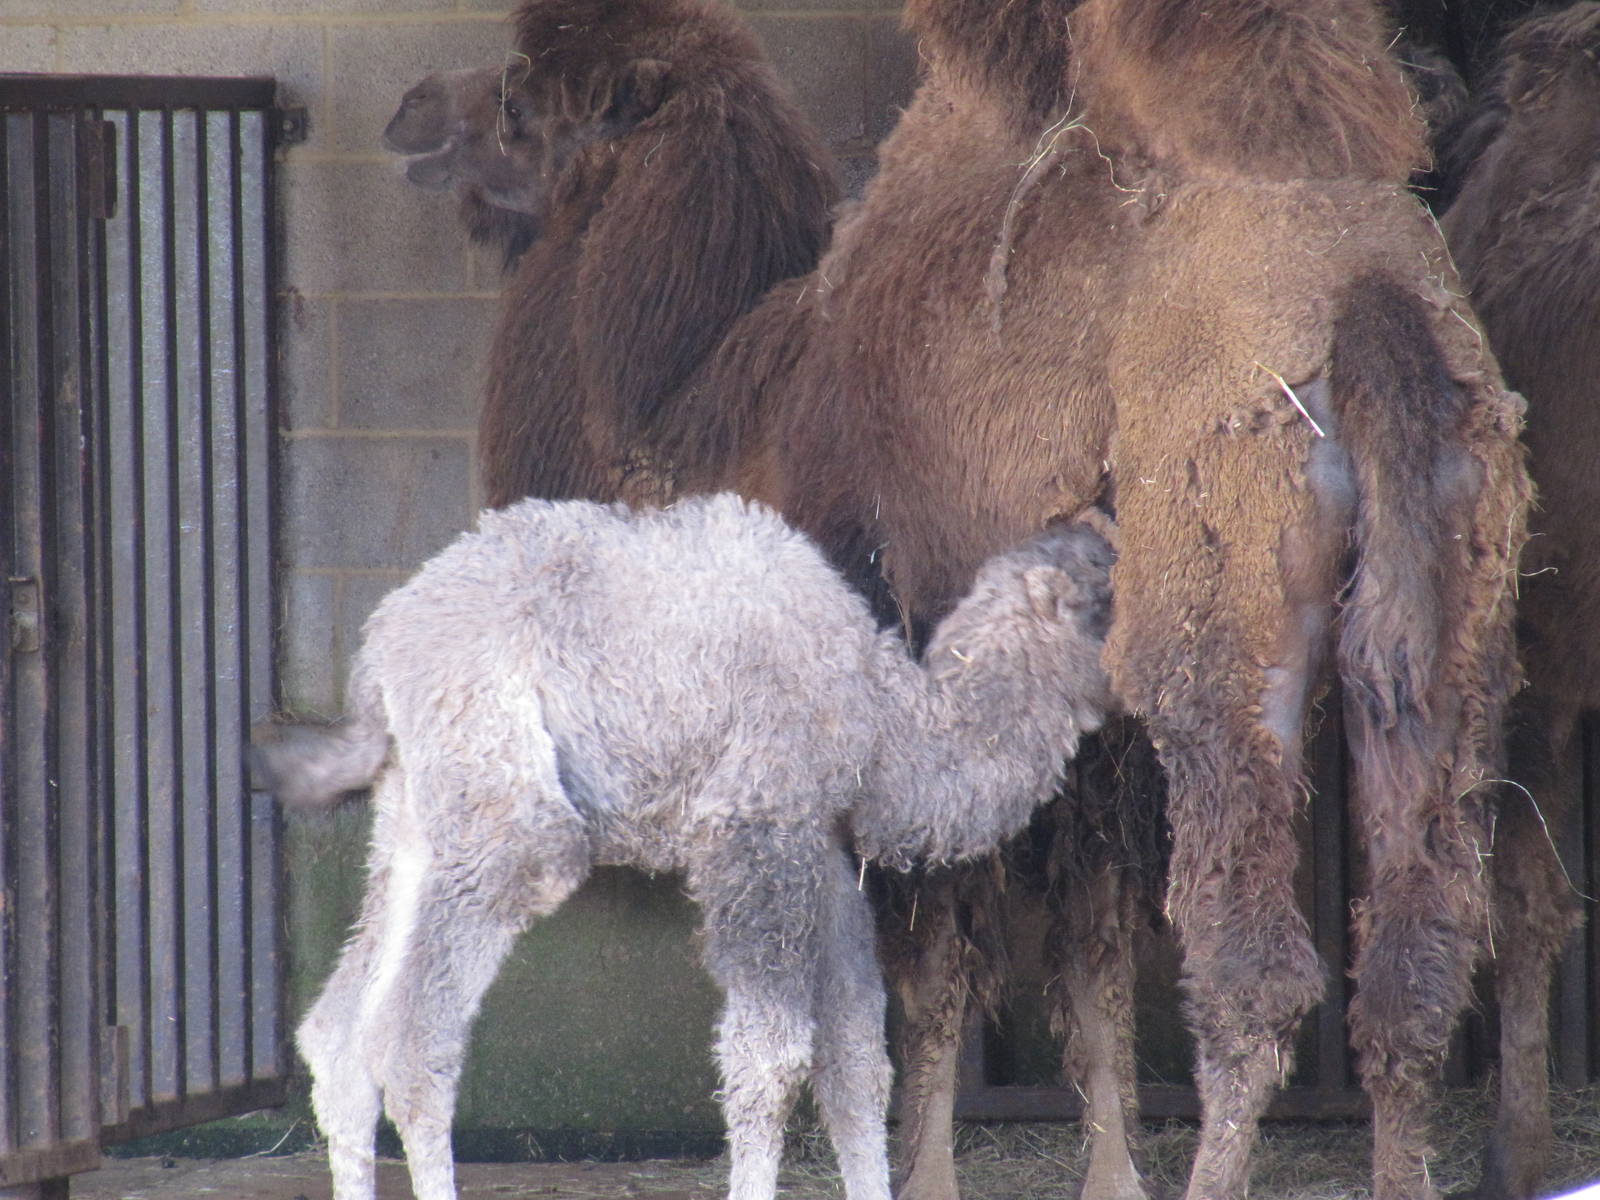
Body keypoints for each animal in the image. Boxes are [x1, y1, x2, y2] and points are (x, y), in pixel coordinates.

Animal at [255, 493, 1117, 1200]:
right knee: (411, 1038)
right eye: (1103, 592)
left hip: (414, 820)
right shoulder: (757, 828)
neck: (883, 721)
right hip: (505, 810)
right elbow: (769, 1058)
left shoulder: (821, 850)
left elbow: (854, 1062)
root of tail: (380, 655)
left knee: (339, 1035)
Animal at [384, 0, 1531, 1196]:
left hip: (1221, 631)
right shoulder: (1081, 748)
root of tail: (1369, 300)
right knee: (1415, 958)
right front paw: (1107, 1173)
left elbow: (924, 963)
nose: (410, 107)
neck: (726, 416)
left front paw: (925, 1169)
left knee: (1252, 969)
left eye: (522, 100)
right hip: (1455, 625)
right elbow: (1089, 955)